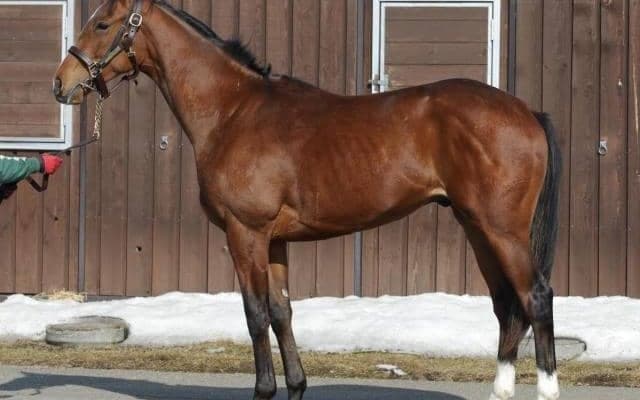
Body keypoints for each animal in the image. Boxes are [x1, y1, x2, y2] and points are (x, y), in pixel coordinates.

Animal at [53, 1, 562, 399]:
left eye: (102, 24)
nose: (62, 83)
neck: (233, 112)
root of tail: (526, 111)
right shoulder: (275, 241)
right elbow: (282, 313)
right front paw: (296, 385)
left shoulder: (245, 234)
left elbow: (255, 314)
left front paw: (264, 390)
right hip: (477, 227)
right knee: (506, 305)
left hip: (501, 230)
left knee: (535, 298)